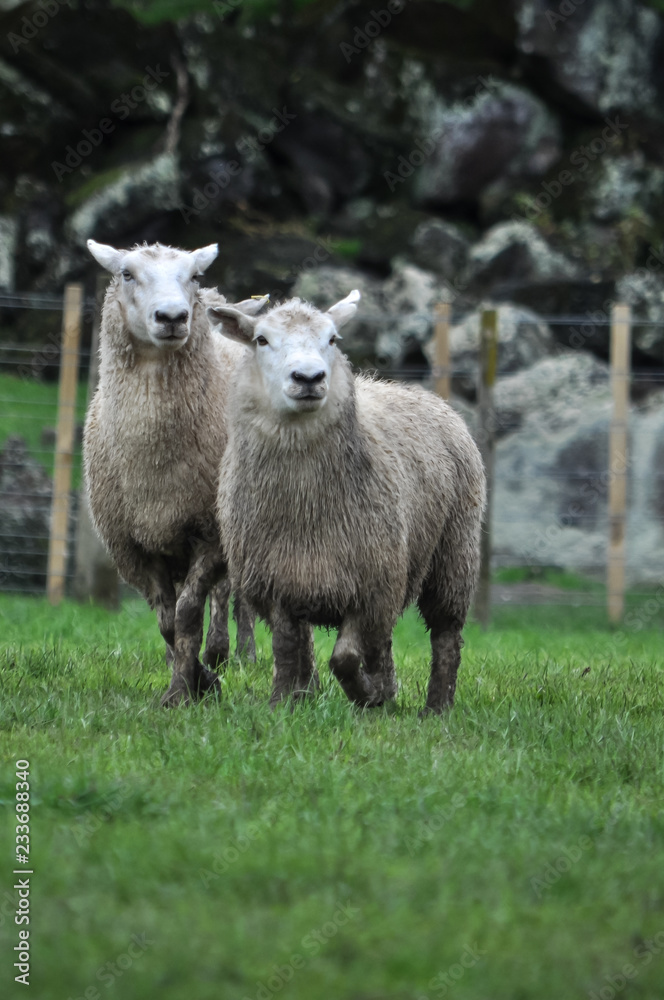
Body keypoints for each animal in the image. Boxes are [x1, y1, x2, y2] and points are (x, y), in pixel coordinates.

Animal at [84, 239, 268, 706]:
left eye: (194, 276)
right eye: (126, 274)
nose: (172, 317)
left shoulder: (210, 532)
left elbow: (187, 614)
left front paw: (186, 691)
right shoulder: (135, 545)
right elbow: (167, 621)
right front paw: (195, 677)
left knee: (234, 596)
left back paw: (234, 652)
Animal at [206, 291, 486, 714]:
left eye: (333, 339)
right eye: (261, 340)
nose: (309, 378)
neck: (304, 505)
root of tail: (415, 391)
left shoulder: (370, 587)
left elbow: (345, 658)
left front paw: (365, 696)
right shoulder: (278, 584)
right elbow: (286, 650)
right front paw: (281, 704)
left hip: (454, 550)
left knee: (446, 635)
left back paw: (435, 708)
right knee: (381, 642)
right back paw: (386, 693)